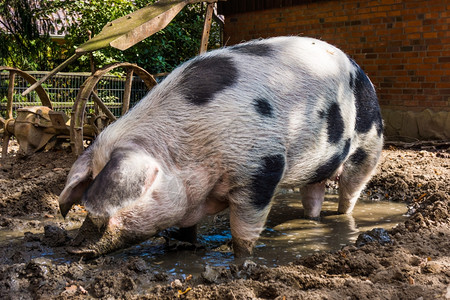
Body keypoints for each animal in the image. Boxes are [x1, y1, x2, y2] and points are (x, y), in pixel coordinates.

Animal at [59, 36, 384, 258]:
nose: (74, 249)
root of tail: (361, 71)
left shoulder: (263, 166)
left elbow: (244, 229)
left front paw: (241, 260)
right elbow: (187, 225)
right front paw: (184, 243)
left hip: (368, 147)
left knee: (351, 190)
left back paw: (341, 218)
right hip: (317, 166)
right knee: (313, 194)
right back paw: (310, 220)